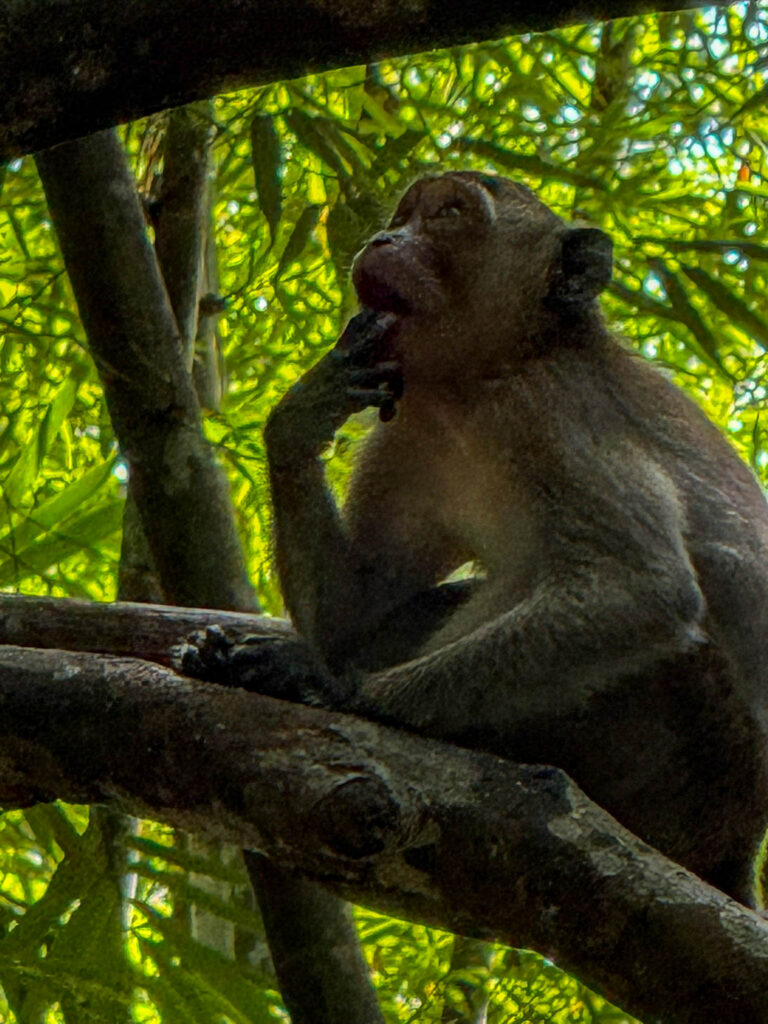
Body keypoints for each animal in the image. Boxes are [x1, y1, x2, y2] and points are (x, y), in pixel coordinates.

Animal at [184, 171, 768, 907]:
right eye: (404, 214)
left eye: (450, 214)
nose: (384, 239)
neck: (478, 384)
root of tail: (737, 843)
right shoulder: (407, 427)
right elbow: (357, 605)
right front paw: (304, 408)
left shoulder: (558, 411)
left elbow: (643, 590)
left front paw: (339, 687)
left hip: (686, 746)